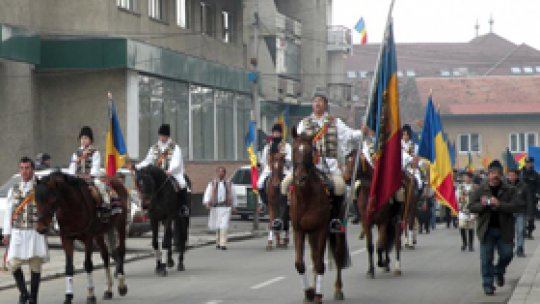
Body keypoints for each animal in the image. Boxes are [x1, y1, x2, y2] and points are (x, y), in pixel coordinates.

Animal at [35, 171, 130, 304]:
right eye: (36, 200)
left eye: (52, 199)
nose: (40, 228)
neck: (72, 207)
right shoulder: (66, 239)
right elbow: (69, 267)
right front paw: (68, 296)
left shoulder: (88, 238)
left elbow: (88, 264)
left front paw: (91, 295)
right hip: (99, 233)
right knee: (105, 256)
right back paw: (108, 290)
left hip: (120, 225)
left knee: (120, 251)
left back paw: (121, 285)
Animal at [292, 129, 346, 302]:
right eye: (294, 149)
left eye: (310, 151)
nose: (301, 178)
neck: (307, 197)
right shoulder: (299, 230)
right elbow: (300, 263)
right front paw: (308, 292)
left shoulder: (321, 229)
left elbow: (320, 263)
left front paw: (317, 295)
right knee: (314, 257)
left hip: (336, 230)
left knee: (337, 255)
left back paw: (338, 289)